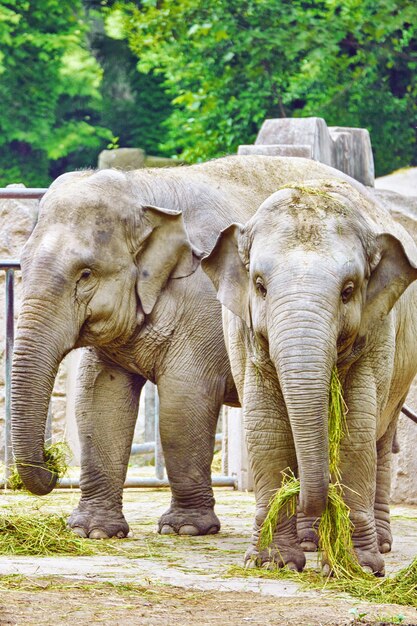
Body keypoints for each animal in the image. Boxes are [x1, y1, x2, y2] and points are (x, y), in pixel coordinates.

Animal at [12, 155, 354, 536]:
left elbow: (183, 403)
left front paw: (185, 529)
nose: (51, 466)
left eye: (85, 273)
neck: (142, 190)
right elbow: (98, 400)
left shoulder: (203, 303)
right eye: (22, 264)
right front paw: (92, 531)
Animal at [203, 178, 416, 572]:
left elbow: (355, 428)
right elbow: (267, 428)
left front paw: (358, 566)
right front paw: (273, 563)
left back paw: (378, 543)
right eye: (259, 286)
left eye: (348, 291)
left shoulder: (378, 326)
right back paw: (310, 541)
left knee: (381, 437)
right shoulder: (243, 332)